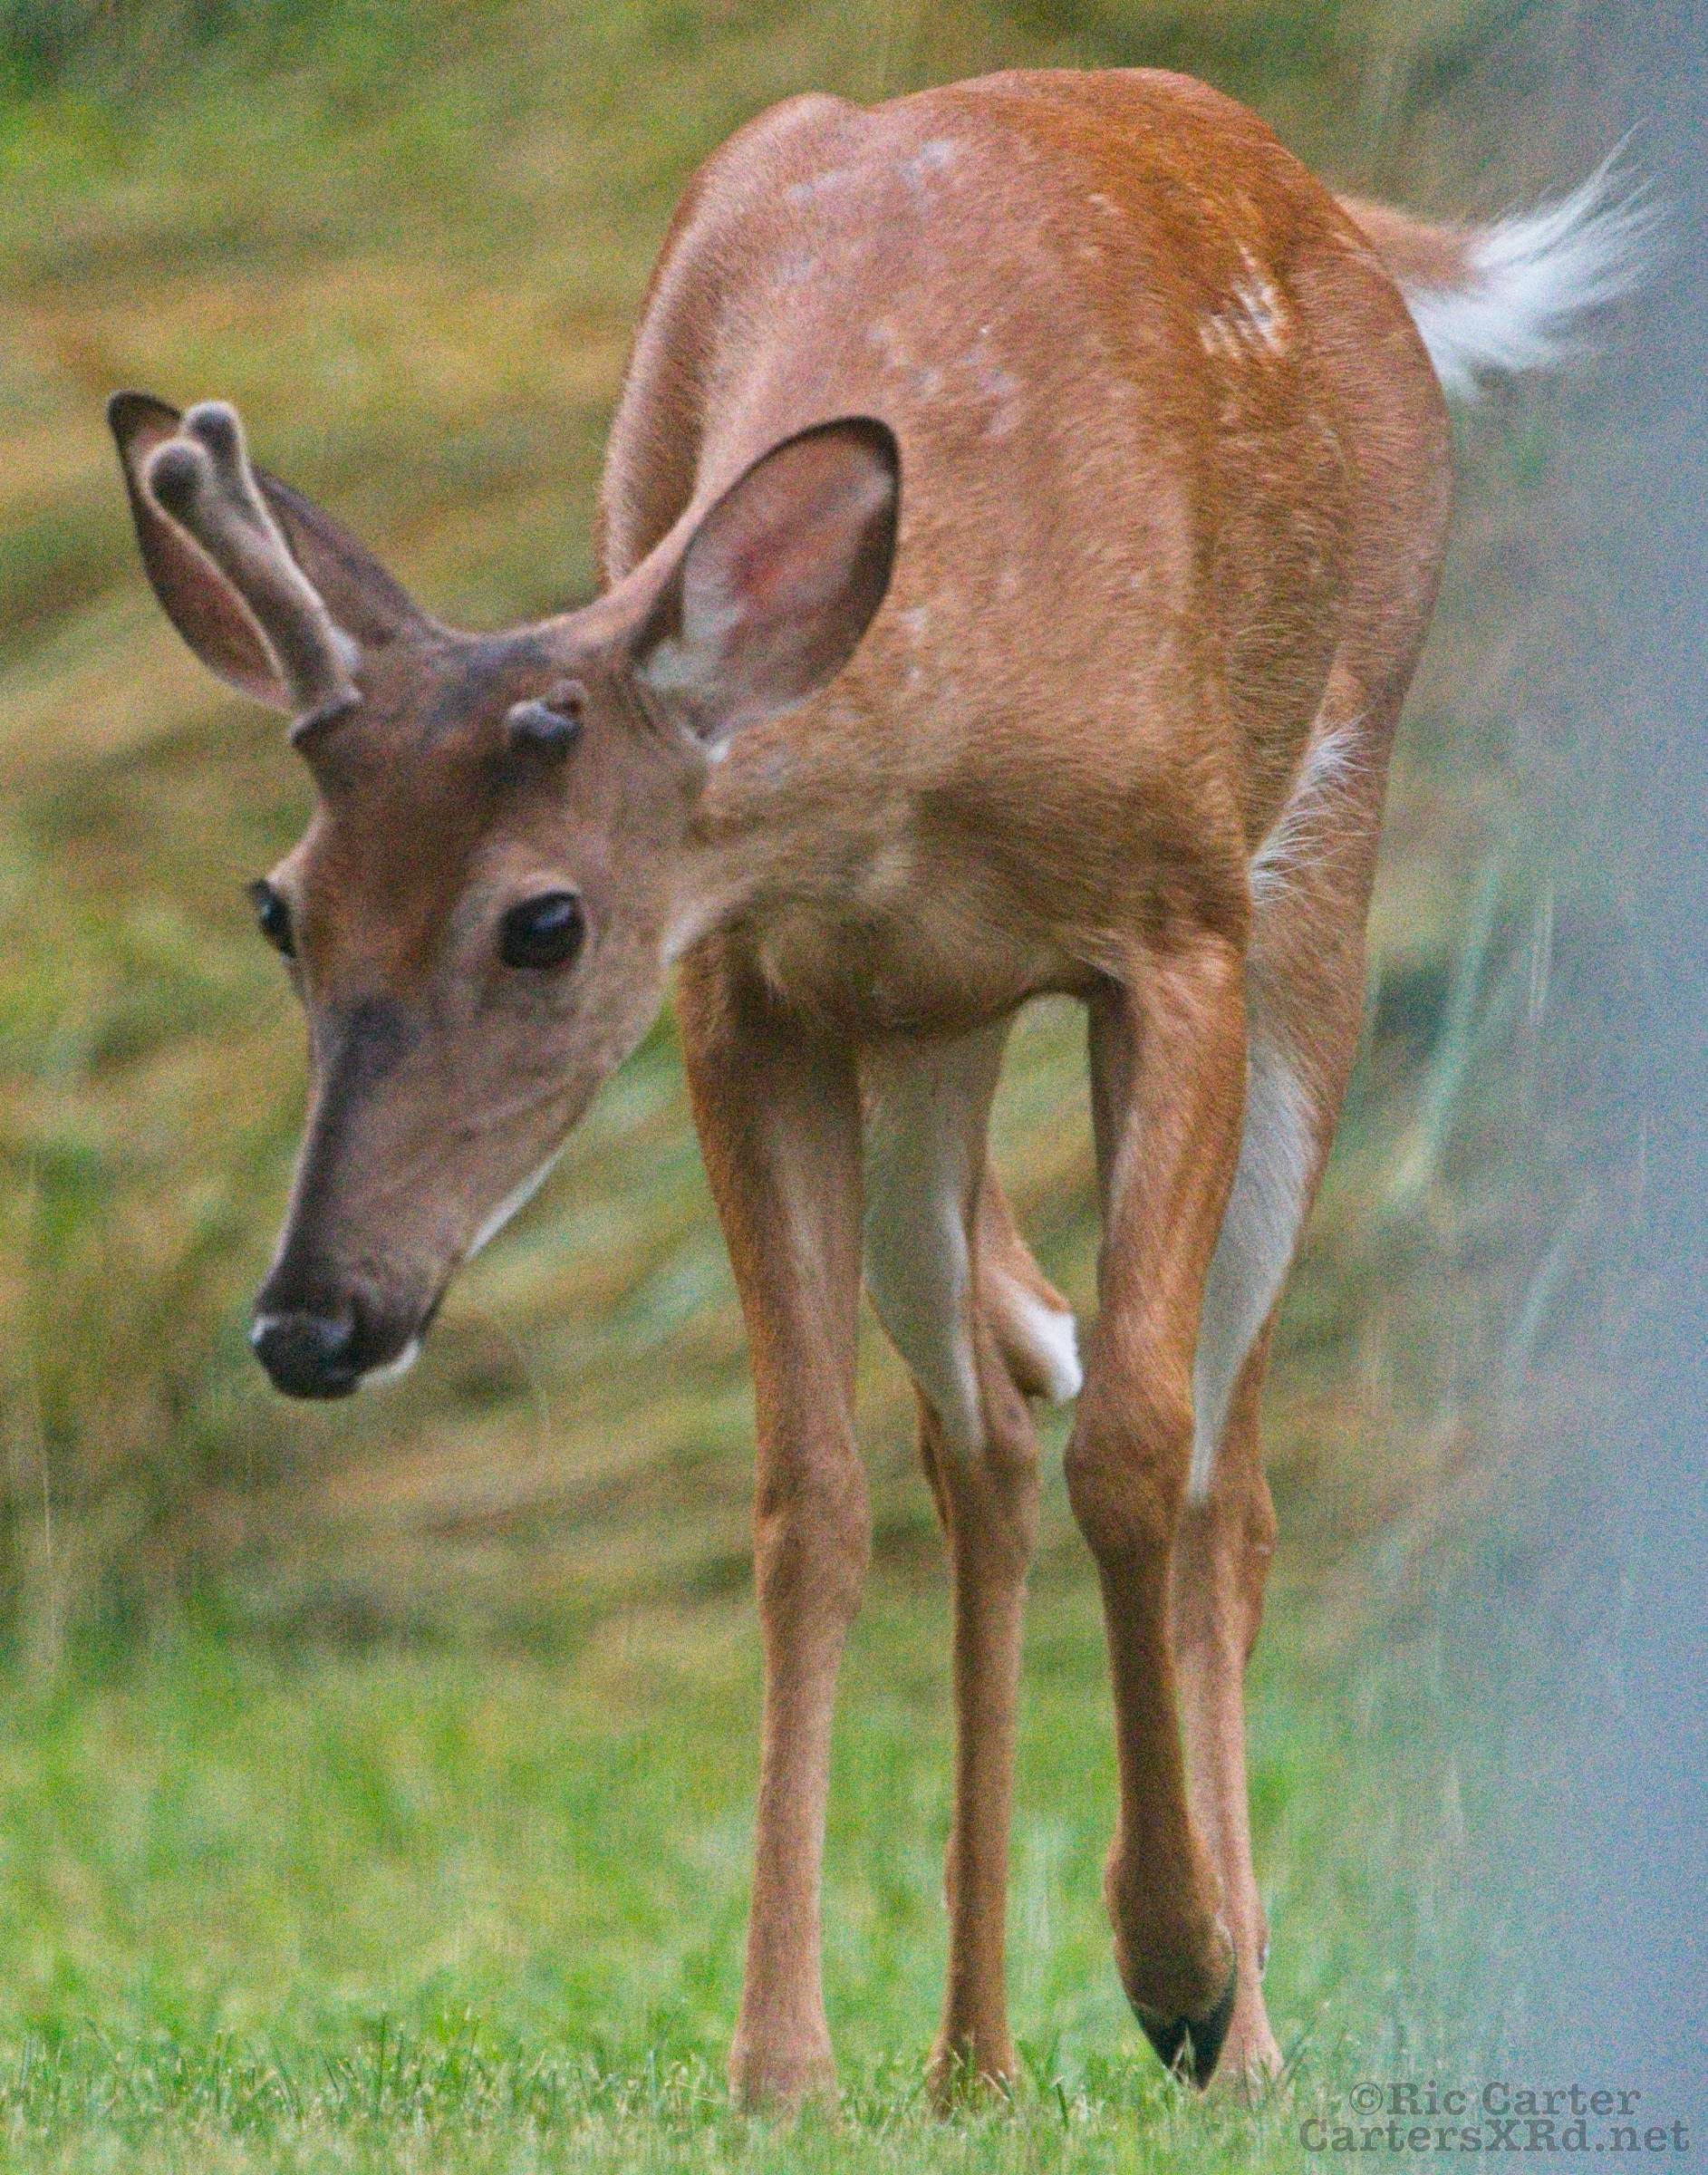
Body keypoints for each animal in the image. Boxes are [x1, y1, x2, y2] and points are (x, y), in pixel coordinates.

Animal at [109, 68, 1642, 2105]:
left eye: (544, 921)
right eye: (280, 905)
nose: (309, 1319)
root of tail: (1325, 204)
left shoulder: (1179, 933)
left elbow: (1141, 1444)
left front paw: (1172, 1968)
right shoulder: (753, 996)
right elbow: (810, 1498)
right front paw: (781, 2064)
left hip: (1324, 858)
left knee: (1221, 1474)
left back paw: (1237, 2041)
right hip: (928, 1039)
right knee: (976, 1443)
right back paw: (969, 2058)